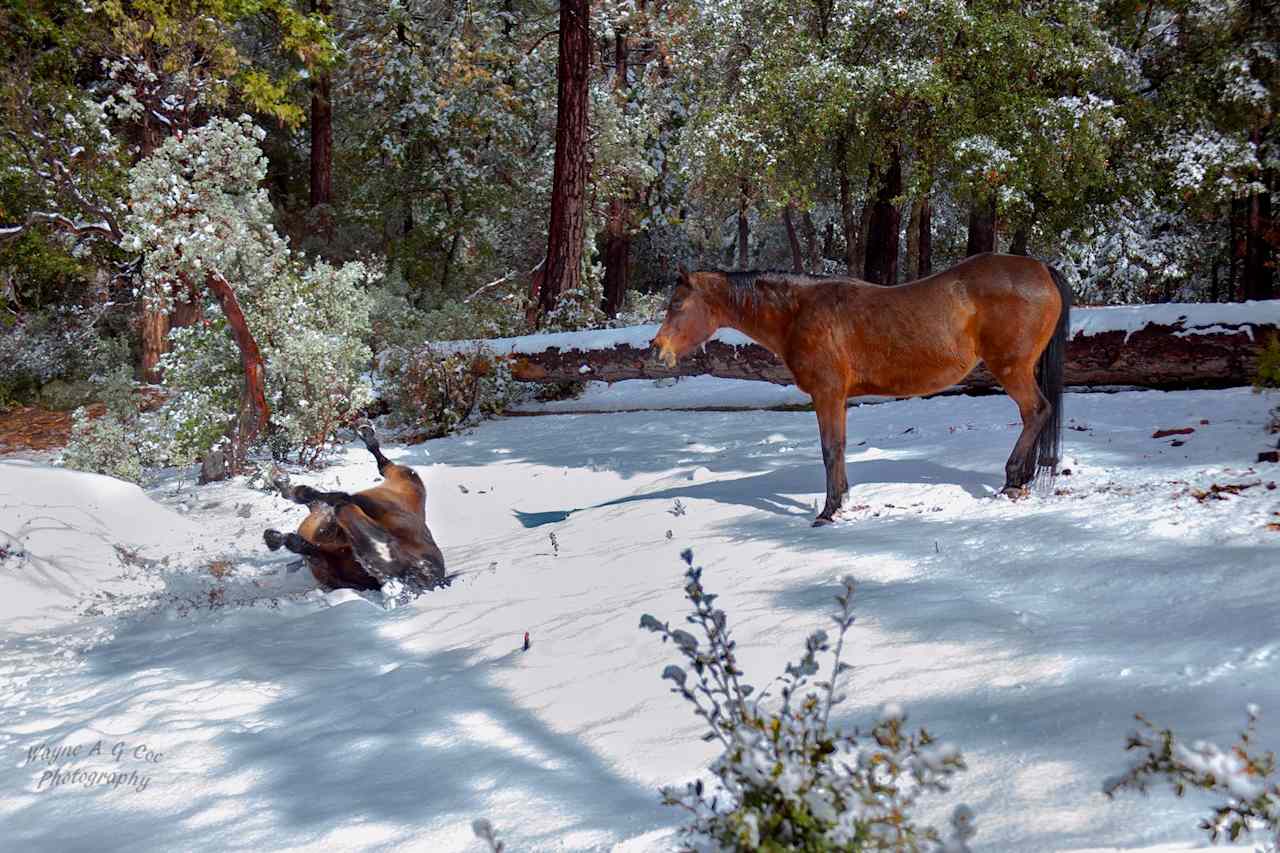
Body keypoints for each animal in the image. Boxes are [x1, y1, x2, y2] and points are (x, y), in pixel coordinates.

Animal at [650, 249, 1070, 522]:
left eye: (677, 305)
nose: (657, 349)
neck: (799, 312)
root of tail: (1040, 268)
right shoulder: (836, 398)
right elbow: (838, 448)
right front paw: (841, 501)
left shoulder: (828, 395)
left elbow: (830, 449)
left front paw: (829, 510)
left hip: (1012, 369)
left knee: (1036, 411)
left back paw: (1012, 480)